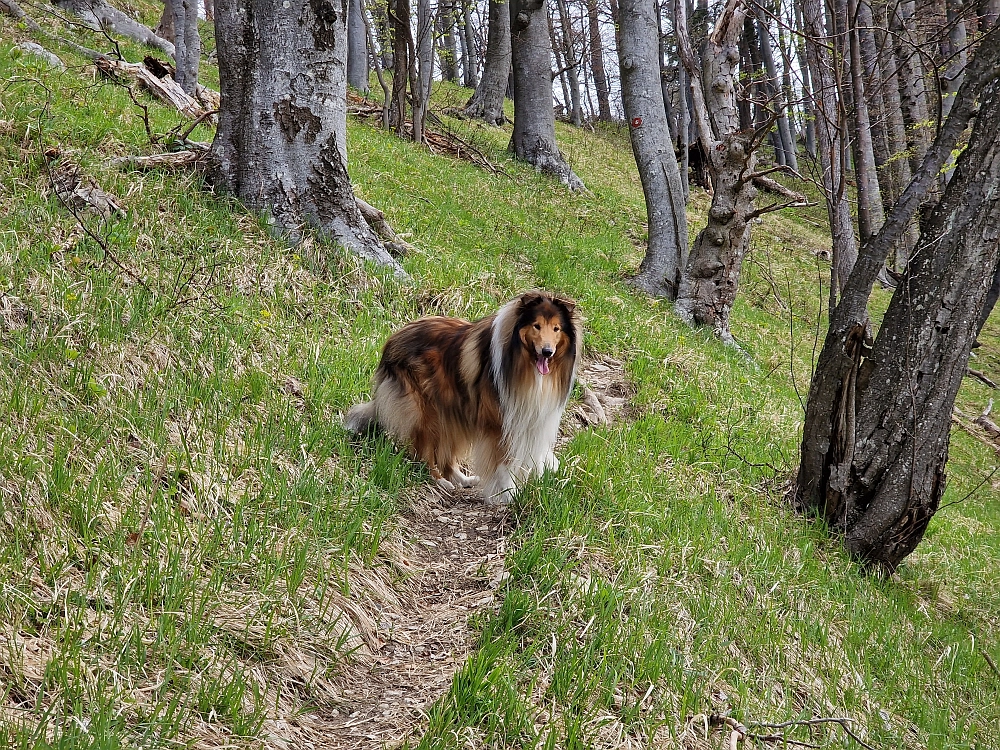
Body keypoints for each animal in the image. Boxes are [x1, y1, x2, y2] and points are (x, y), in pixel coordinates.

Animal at [346, 294, 584, 506]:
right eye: (536, 326)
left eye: (556, 329)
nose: (547, 352)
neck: (522, 363)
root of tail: (391, 340)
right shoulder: (500, 424)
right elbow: (505, 462)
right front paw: (508, 495)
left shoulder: (529, 419)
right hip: (426, 412)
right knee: (423, 451)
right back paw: (440, 481)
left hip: (452, 409)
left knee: (446, 451)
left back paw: (462, 479)